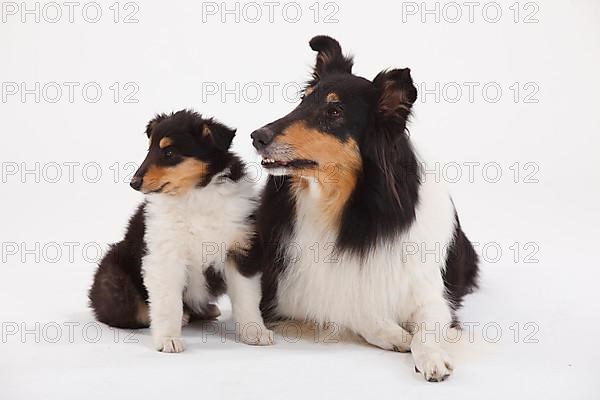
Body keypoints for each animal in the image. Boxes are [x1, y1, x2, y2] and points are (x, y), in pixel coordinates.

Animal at [89, 108, 274, 350]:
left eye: (169, 153)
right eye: (149, 150)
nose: (133, 183)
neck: (195, 194)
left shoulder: (241, 249)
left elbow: (247, 297)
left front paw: (255, 332)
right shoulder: (165, 255)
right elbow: (168, 303)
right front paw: (168, 340)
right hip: (115, 281)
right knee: (135, 313)